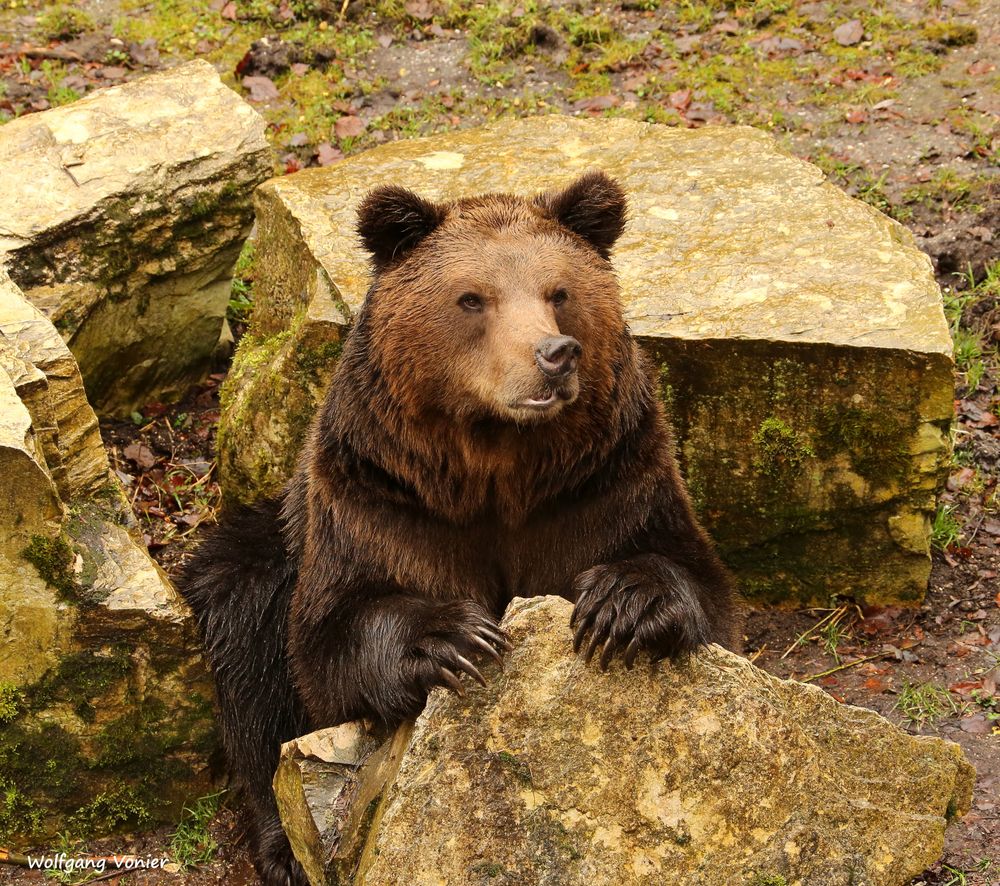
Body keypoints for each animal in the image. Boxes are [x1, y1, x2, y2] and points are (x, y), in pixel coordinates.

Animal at [180, 172, 744, 886]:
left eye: (559, 292)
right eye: (473, 298)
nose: (554, 355)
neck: (498, 468)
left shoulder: (608, 484)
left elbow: (700, 586)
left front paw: (622, 605)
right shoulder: (384, 500)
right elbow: (328, 641)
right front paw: (454, 636)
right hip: (272, 548)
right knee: (243, 636)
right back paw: (282, 846)